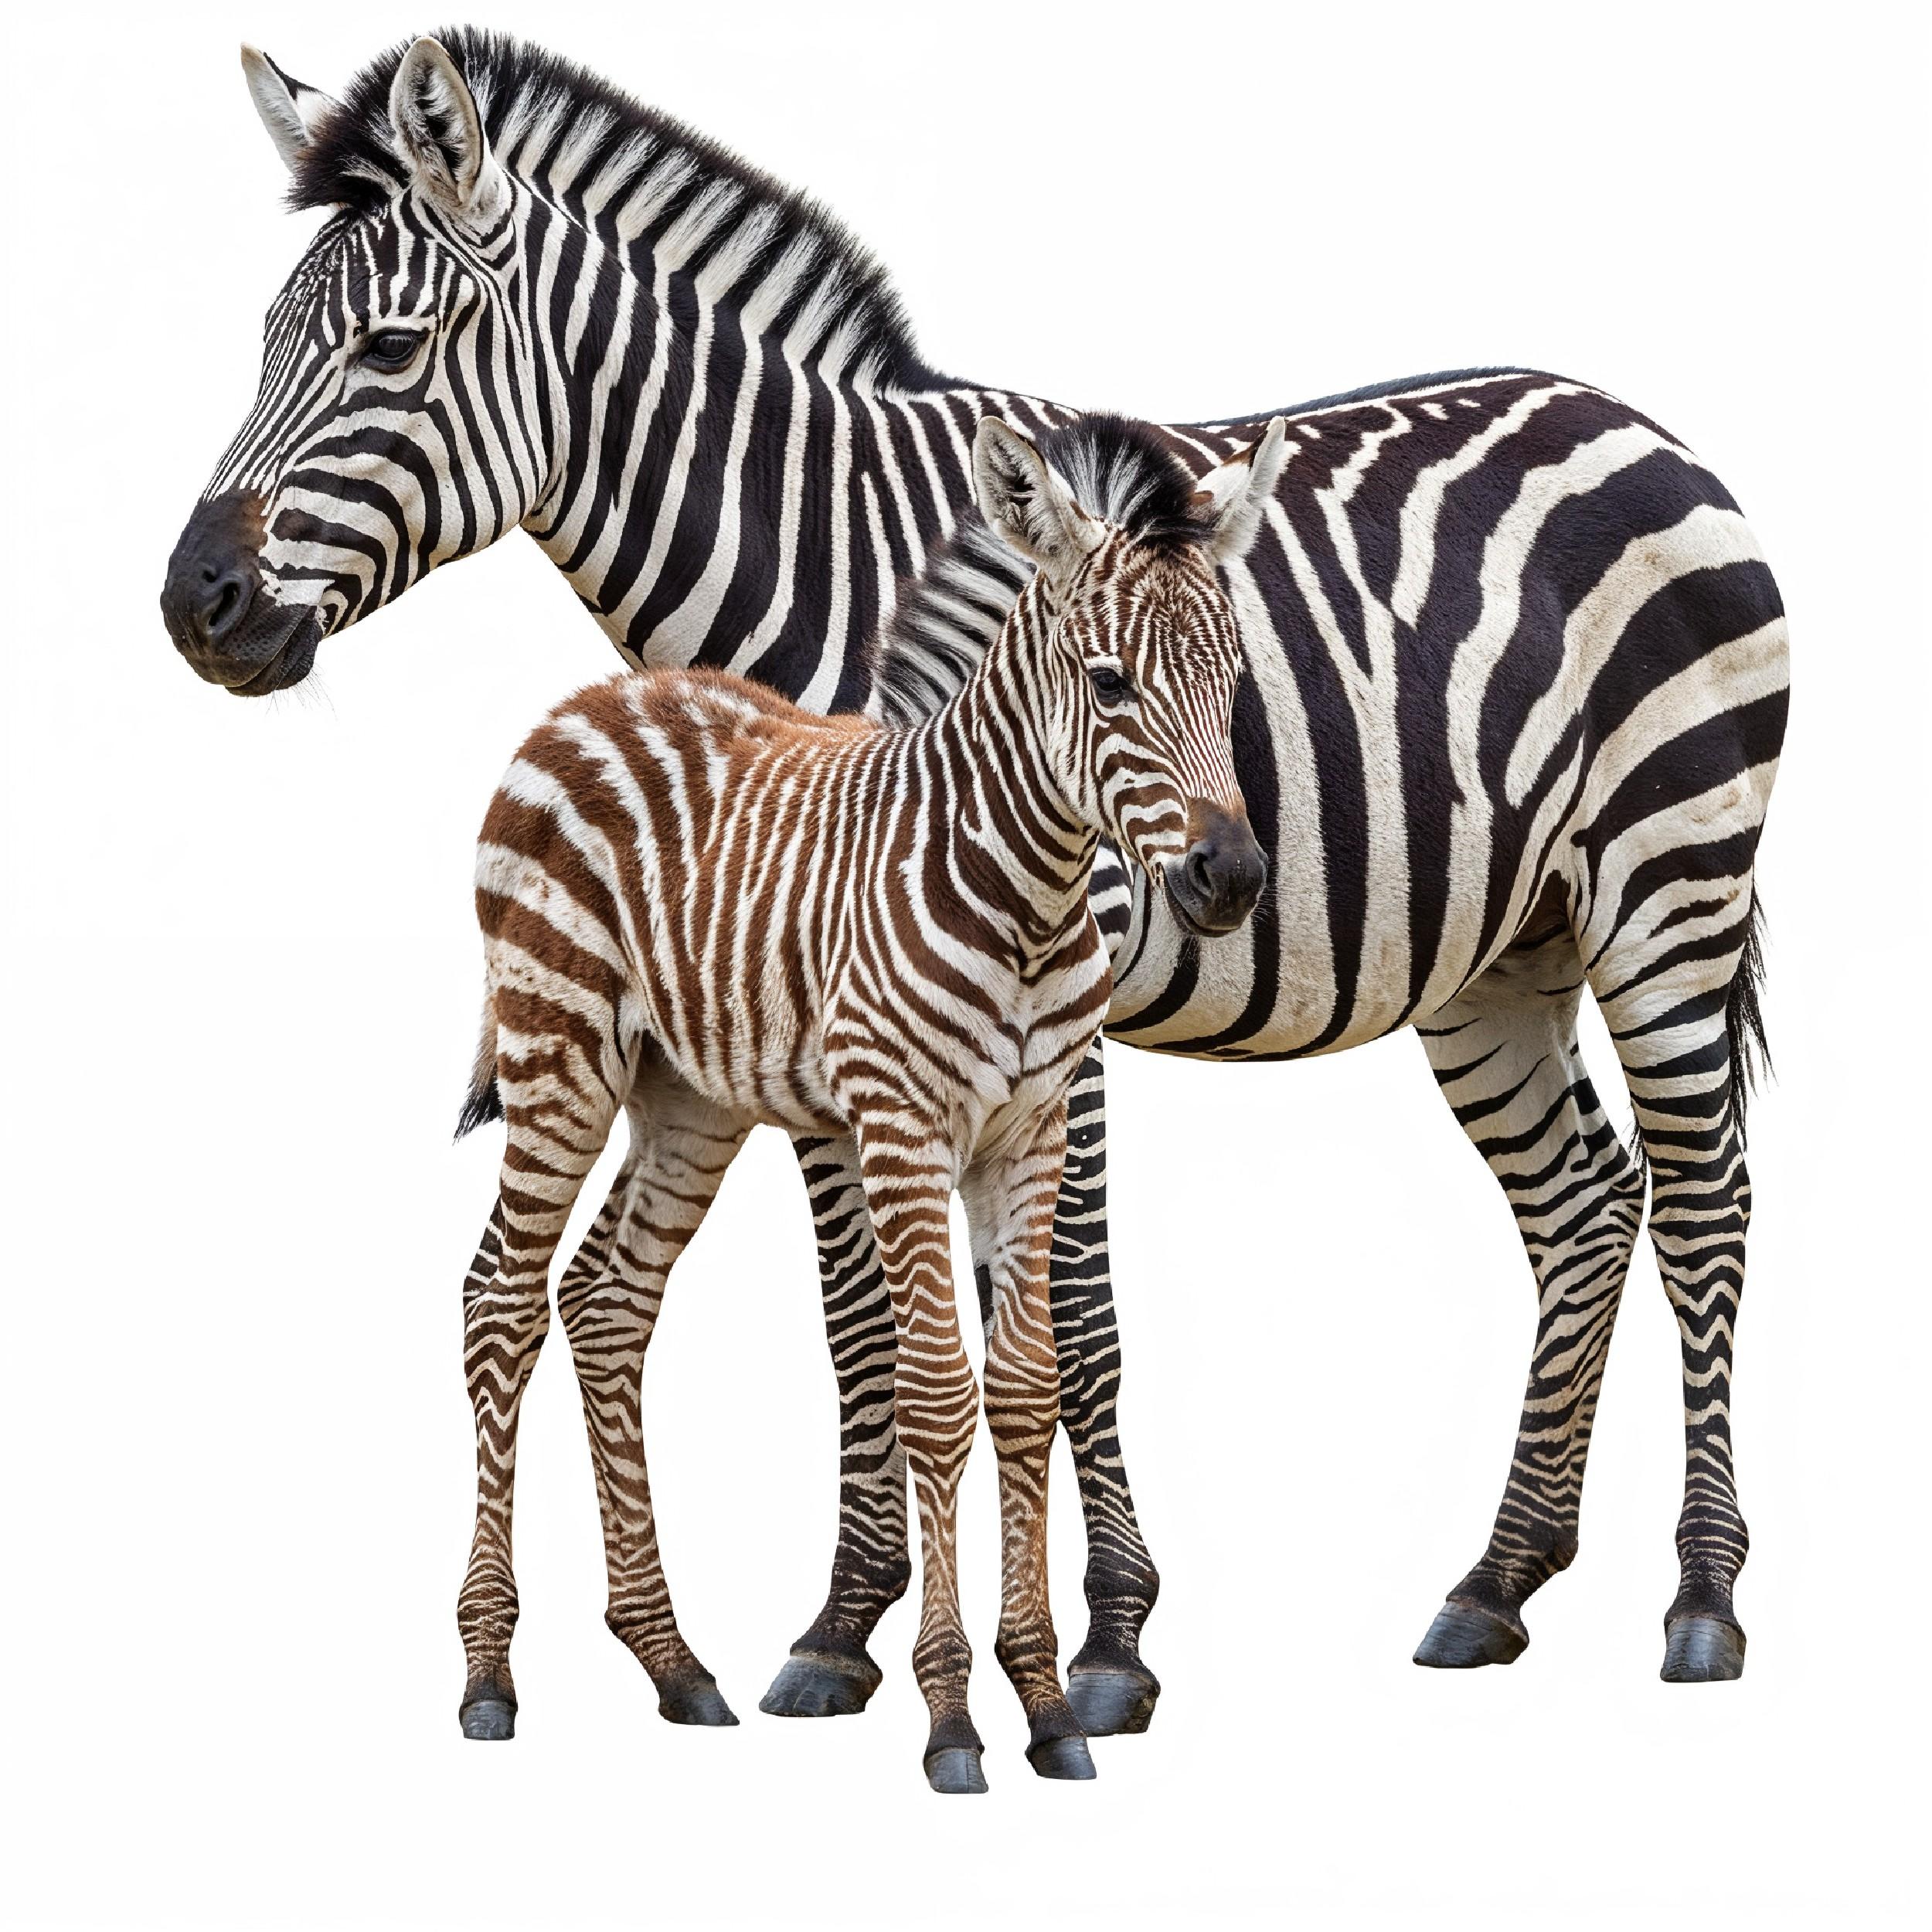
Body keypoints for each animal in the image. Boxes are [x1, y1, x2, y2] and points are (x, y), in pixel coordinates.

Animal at [453, 412, 1278, 1789]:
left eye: (1232, 687)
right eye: (1111, 685)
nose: (1233, 879)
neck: (1026, 889)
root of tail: (599, 697)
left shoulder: (1031, 1130)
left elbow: (1026, 1391)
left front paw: (1047, 1708)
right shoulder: (900, 1128)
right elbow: (935, 1391)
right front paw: (951, 1720)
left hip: (687, 1098)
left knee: (606, 1302)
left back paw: (673, 1663)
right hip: (554, 1047)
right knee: (498, 1304)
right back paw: (486, 1676)